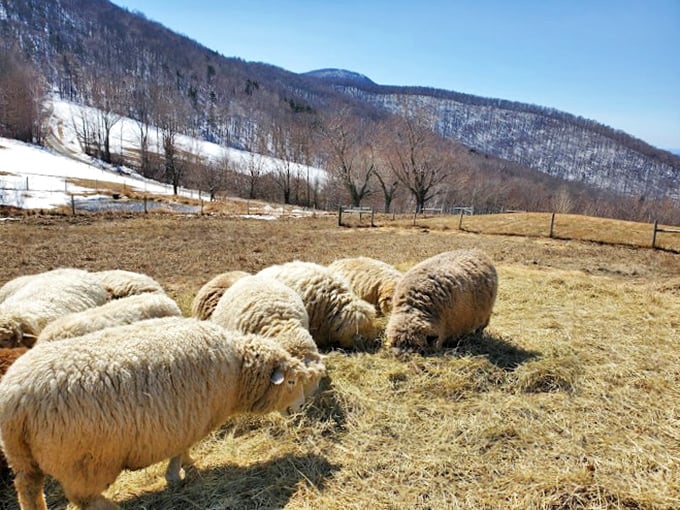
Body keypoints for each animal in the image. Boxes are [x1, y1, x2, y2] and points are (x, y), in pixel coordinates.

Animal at [0, 316, 322, 508]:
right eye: (291, 381)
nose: (300, 408)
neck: (235, 372)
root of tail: (16, 398)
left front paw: (187, 465)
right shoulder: (187, 420)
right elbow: (180, 451)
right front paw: (177, 474)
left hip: (22, 457)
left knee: (28, 488)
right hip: (83, 461)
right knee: (84, 499)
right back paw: (112, 506)